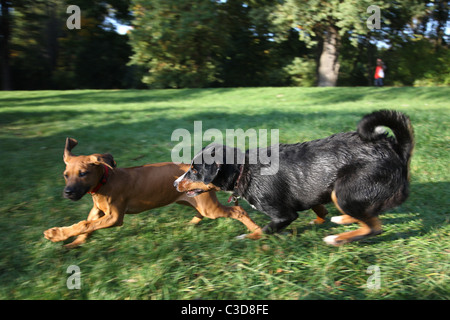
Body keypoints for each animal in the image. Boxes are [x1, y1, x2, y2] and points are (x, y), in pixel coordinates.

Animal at [44, 138, 262, 248]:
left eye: (83, 173)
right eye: (65, 175)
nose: (68, 193)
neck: (104, 182)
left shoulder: (114, 217)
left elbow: (85, 224)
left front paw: (56, 234)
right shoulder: (98, 210)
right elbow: (87, 225)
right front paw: (76, 242)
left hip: (209, 206)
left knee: (238, 212)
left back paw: (256, 231)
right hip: (194, 201)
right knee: (200, 213)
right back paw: (190, 225)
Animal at [174, 110, 414, 245]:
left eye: (194, 169)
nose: (175, 183)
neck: (244, 168)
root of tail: (393, 147)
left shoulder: (283, 215)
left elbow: (263, 231)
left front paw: (244, 238)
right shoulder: (311, 193)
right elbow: (319, 210)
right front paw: (320, 220)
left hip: (345, 190)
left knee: (373, 226)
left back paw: (336, 239)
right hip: (340, 193)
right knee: (366, 215)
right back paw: (343, 219)